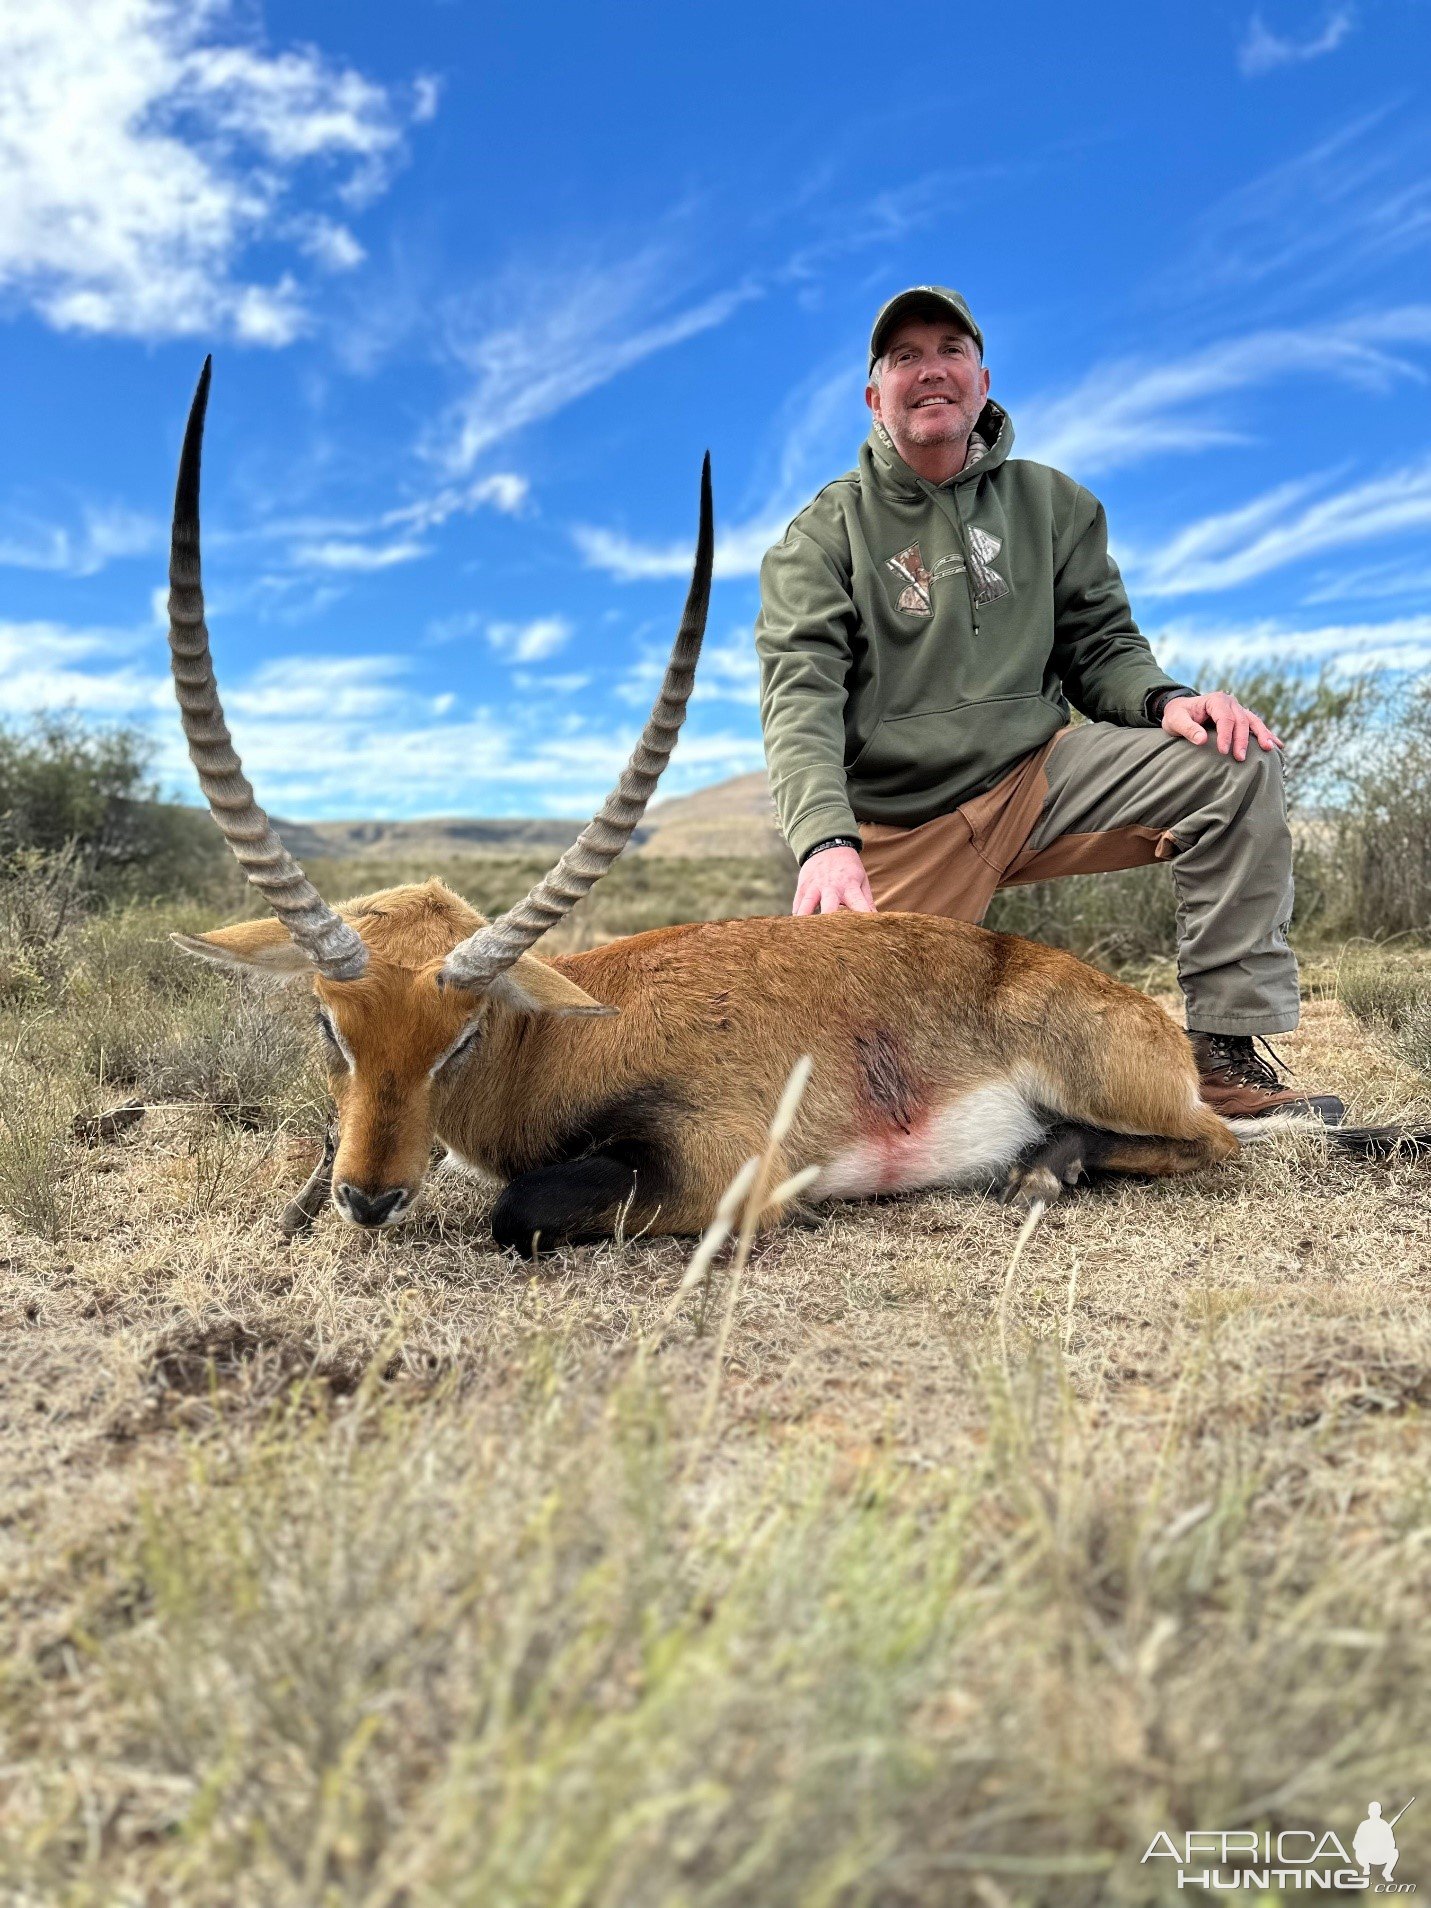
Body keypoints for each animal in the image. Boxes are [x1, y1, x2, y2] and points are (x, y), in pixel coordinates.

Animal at [170, 360, 1431, 1251]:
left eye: (464, 1035)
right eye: (329, 1027)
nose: (369, 1199)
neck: (562, 1033)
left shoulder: (720, 1173)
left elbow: (515, 1210)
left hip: (1132, 1091)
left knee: (1222, 1143)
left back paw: (1047, 1166)